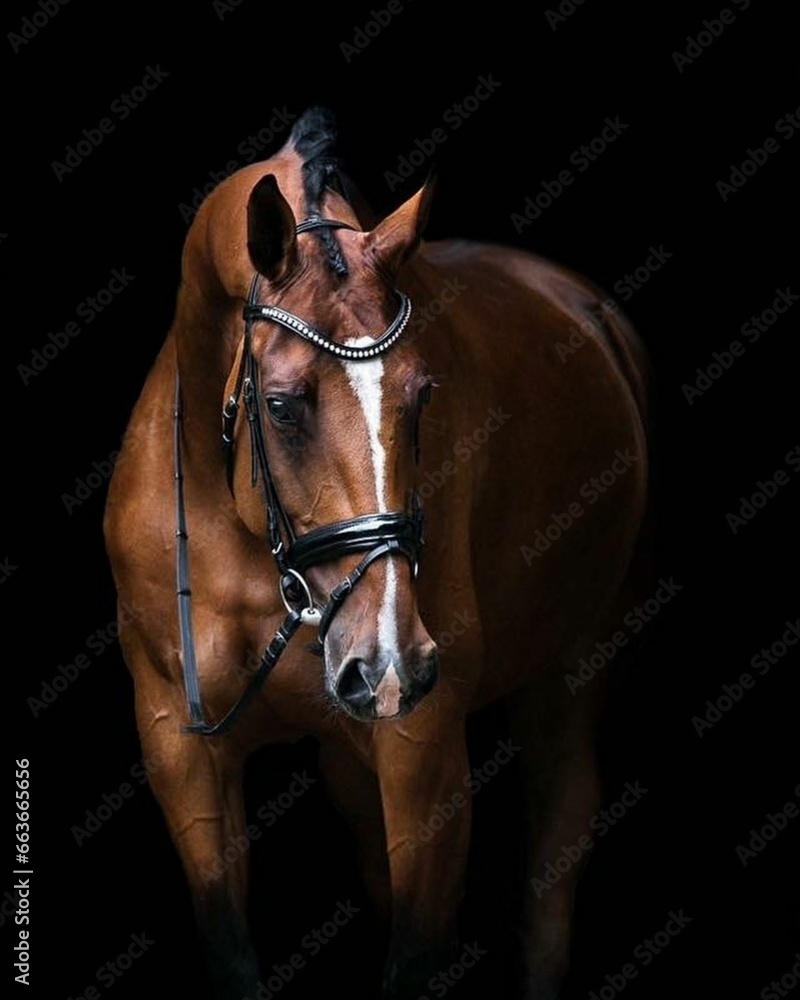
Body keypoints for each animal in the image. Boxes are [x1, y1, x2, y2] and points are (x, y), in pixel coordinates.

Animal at [103, 106, 649, 999]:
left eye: (423, 395)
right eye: (281, 406)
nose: (391, 664)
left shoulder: (420, 755)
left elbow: (417, 953)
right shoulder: (180, 753)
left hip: (574, 660)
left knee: (559, 832)